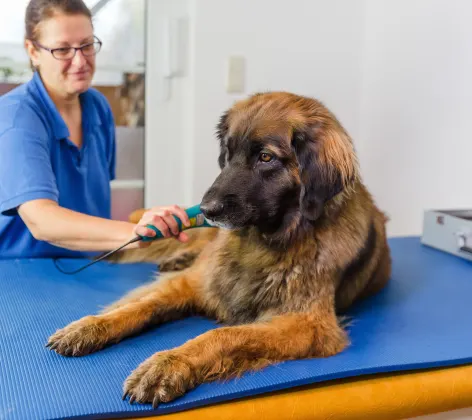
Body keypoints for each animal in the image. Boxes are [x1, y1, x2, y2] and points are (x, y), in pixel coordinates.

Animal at [47, 91, 390, 406]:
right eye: (228, 151)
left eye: (266, 157)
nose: (206, 210)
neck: (263, 242)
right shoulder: (196, 283)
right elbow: (141, 305)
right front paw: (91, 326)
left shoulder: (308, 325)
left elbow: (225, 334)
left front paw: (168, 364)